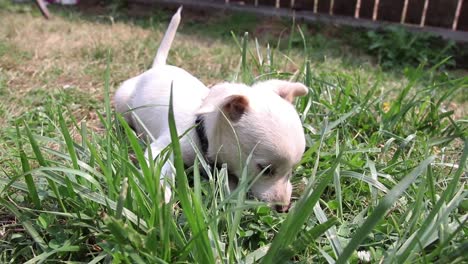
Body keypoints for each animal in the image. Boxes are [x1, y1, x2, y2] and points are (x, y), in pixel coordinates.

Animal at [114, 7, 308, 212]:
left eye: (292, 170)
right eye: (265, 169)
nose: (284, 208)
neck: (201, 131)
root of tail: (157, 67)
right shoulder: (162, 149)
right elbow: (160, 172)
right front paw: (162, 198)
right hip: (122, 101)